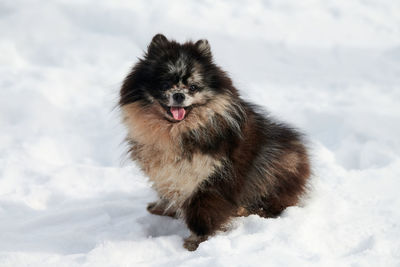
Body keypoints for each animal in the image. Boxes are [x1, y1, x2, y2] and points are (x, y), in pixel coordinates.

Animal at [120, 34, 310, 252]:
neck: (175, 131)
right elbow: (167, 190)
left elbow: (203, 214)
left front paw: (195, 242)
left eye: (193, 87)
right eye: (165, 84)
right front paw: (163, 207)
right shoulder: (168, 170)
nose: (179, 95)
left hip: (276, 163)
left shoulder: (210, 177)